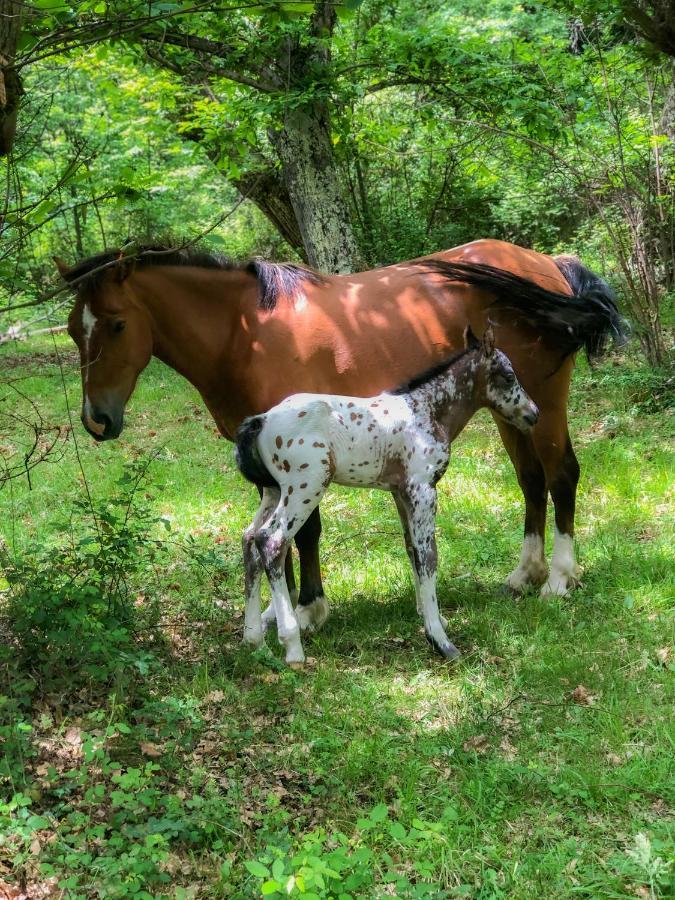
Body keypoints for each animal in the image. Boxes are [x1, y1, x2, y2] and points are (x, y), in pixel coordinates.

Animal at [58, 239, 628, 628]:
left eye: (116, 324)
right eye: (71, 329)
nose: (97, 419)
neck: (245, 336)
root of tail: (548, 264)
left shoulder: (305, 459)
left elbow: (305, 531)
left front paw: (308, 609)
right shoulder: (271, 467)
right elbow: (275, 537)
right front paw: (277, 612)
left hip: (542, 405)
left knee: (561, 476)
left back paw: (560, 578)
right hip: (511, 412)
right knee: (531, 480)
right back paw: (525, 573)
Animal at [235, 326, 540, 664]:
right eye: (509, 375)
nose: (533, 414)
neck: (427, 411)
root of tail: (262, 420)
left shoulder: (401, 492)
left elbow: (411, 549)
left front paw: (431, 617)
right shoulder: (423, 489)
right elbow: (428, 554)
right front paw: (439, 639)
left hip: (274, 491)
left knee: (250, 540)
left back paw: (254, 639)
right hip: (306, 486)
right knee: (271, 541)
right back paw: (292, 647)